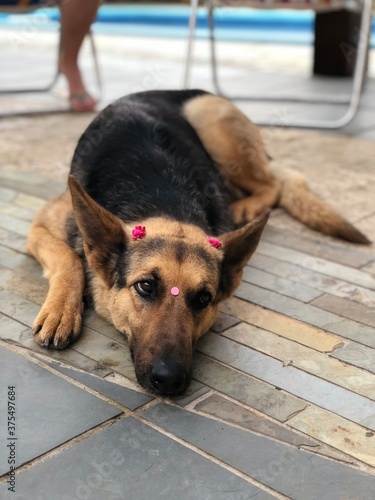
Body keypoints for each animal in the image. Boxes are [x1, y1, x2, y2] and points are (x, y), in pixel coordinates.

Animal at [26, 89, 370, 394]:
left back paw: (248, 205)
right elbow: (69, 259)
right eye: (145, 286)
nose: (169, 380)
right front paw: (61, 311)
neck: (162, 196)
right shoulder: (40, 225)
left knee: (274, 184)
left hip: (211, 123)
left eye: (204, 298)